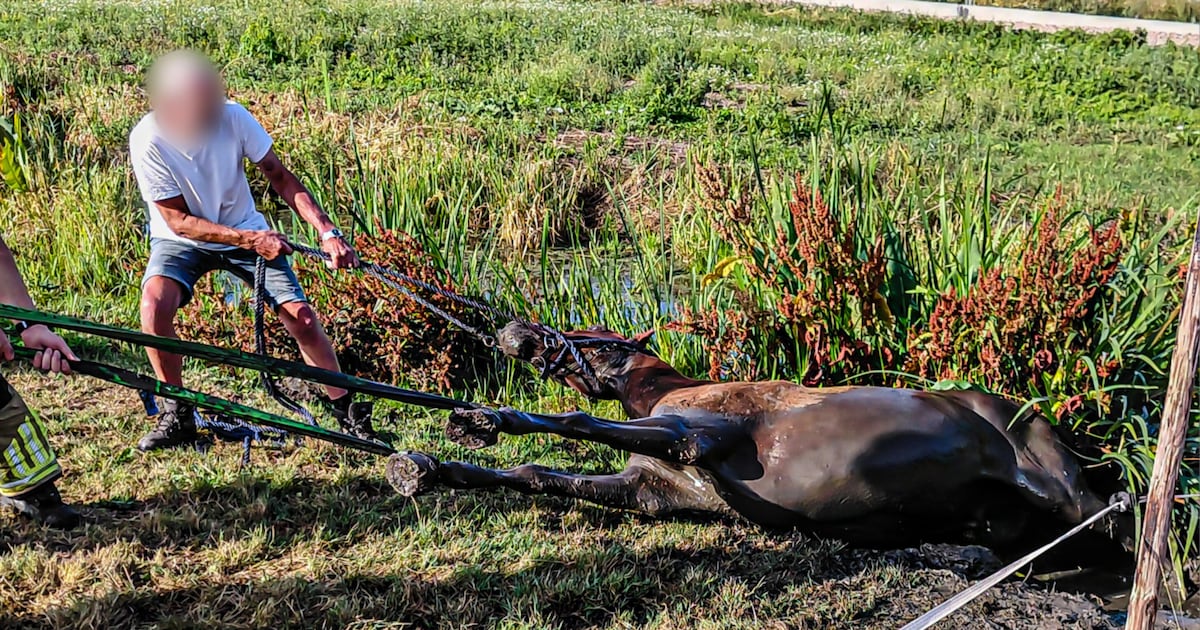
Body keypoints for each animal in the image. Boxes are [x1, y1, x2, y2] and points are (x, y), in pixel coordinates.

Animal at [386, 322, 1128, 550]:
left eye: (598, 339)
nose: (515, 333)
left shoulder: (695, 435)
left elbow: (575, 423)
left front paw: (480, 420)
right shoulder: (650, 490)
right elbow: (540, 475)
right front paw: (421, 466)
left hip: (1067, 494)